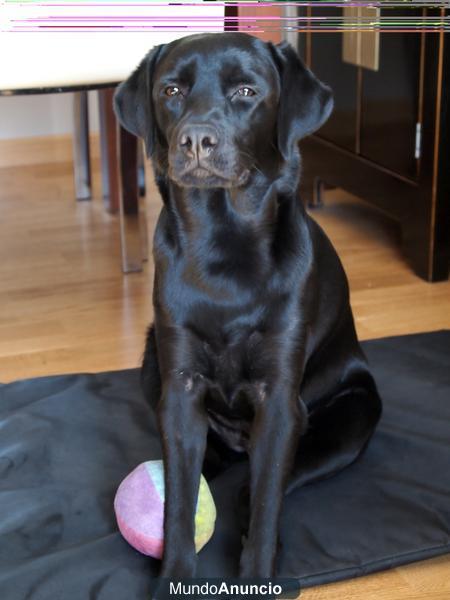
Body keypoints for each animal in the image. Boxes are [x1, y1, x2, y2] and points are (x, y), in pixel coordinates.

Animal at [114, 31, 382, 576]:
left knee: (261, 485)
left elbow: (265, 499)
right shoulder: (180, 384)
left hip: (354, 412)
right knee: (201, 465)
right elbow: (179, 502)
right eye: (171, 91)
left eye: (246, 92)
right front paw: (173, 576)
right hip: (153, 360)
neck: (224, 241)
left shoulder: (279, 398)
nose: (196, 139)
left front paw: (258, 571)